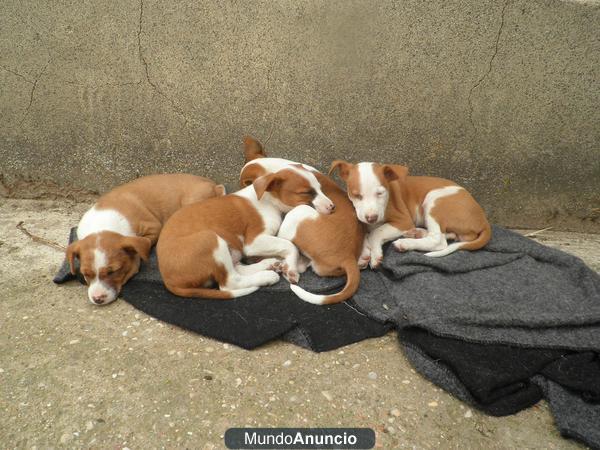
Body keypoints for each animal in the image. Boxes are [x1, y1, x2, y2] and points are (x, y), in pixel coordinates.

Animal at [66, 174, 225, 304]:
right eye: (85, 274)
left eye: (113, 272)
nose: (97, 299)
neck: (102, 226)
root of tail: (214, 186)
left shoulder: (153, 227)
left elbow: (145, 243)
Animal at [157, 166, 336, 298]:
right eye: (306, 192)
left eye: (320, 189)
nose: (332, 207)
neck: (268, 199)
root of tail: (168, 280)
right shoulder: (253, 242)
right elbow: (290, 245)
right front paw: (291, 269)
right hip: (210, 239)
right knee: (229, 282)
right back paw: (266, 277)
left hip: (228, 249)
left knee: (237, 269)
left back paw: (269, 264)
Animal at [328, 161, 492, 268]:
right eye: (357, 195)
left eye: (380, 193)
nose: (371, 218)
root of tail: (483, 219)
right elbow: (365, 232)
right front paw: (363, 253)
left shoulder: (403, 220)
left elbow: (376, 232)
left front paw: (375, 254)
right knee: (450, 235)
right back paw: (416, 233)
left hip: (433, 200)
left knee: (438, 240)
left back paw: (405, 243)